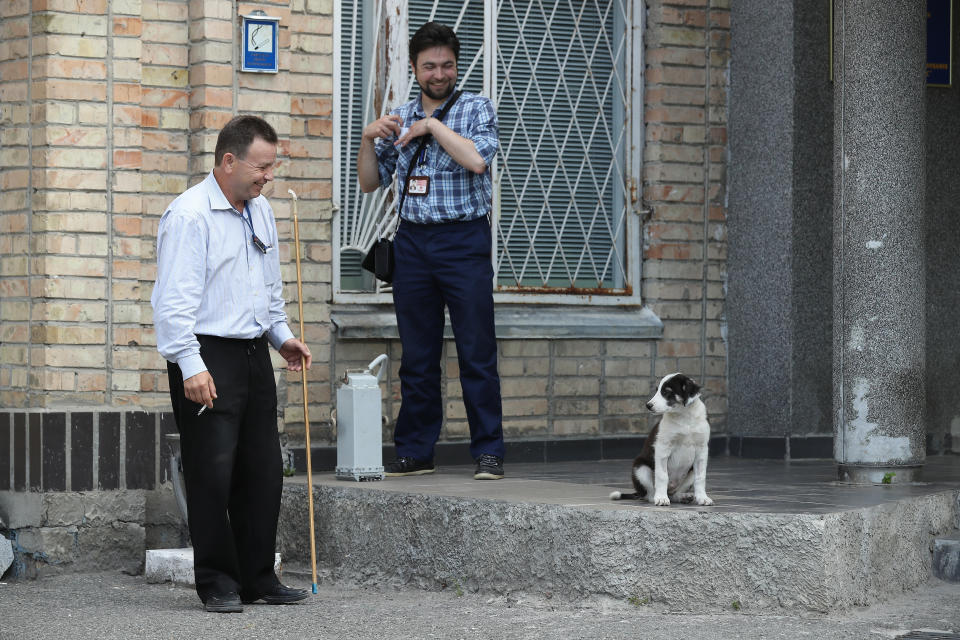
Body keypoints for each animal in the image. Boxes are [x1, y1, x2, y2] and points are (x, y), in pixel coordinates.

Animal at [612, 372, 708, 508]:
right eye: (657, 390)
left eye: (666, 392)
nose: (648, 405)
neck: (684, 417)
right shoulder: (663, 448)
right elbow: (662, 476)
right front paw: (662, 499)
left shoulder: (702, 450)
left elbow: (700, 477)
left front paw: (703, 498)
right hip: (640, 469)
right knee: (649, 494)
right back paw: (658, 497)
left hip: (690, 472)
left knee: (675, 494)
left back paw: (683, 497)